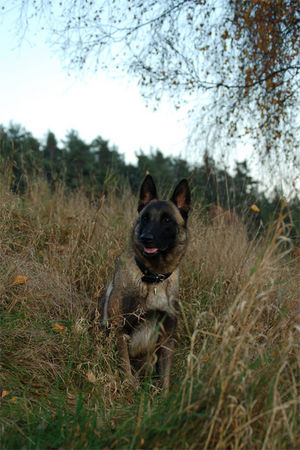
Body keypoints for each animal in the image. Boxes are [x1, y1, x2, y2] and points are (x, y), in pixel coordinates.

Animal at [99, 174, 191, 392]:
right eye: (145, 218)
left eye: (167, 220)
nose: (145, 238)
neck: (153, 278)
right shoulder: (120, 329)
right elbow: (124, 364)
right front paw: (129, 386)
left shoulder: (167, 339)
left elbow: (165, 379)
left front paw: (163, 397)